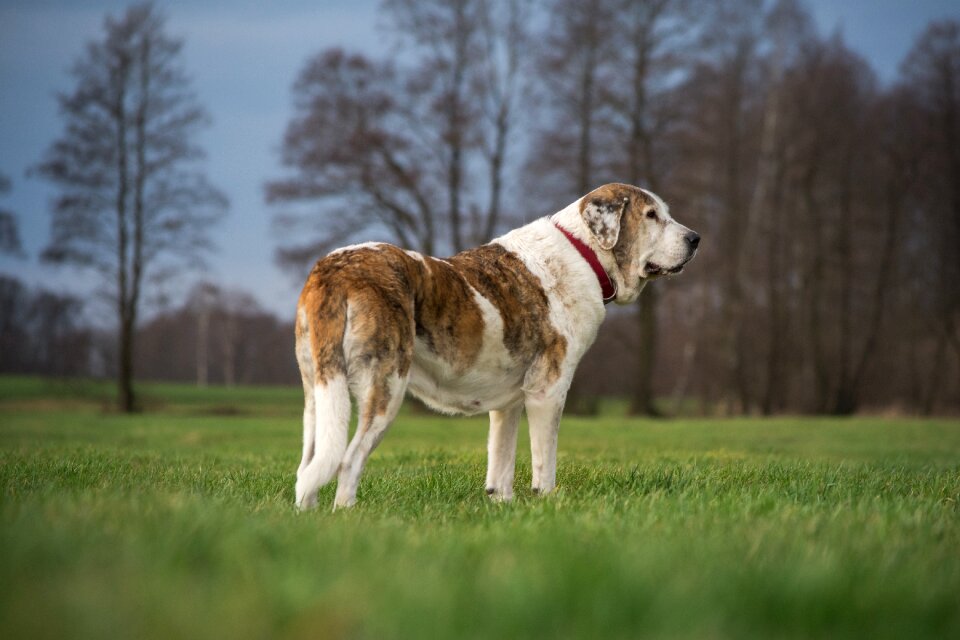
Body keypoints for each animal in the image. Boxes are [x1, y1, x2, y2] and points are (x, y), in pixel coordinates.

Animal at [292, 184, 696, 510]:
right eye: (652, 215)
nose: (695, 238)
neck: (584, 252)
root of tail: (336, 268)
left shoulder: (508, 404)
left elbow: (501, 463)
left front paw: (502, 505)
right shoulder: (548, 391)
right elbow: (544, 461)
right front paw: (546, 502)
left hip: (317, 395)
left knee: (307, 468)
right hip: (386, 388)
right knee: (347, 461)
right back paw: (346, 514)